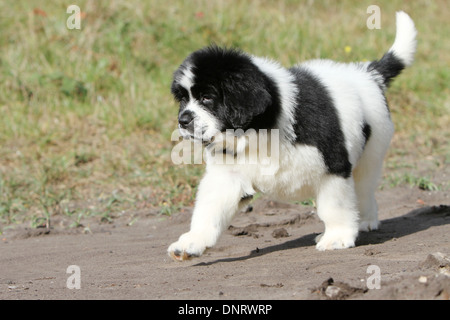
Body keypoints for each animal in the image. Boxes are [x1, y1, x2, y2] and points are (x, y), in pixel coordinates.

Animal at [167, 11, 416, 260]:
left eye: (207, 97)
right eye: (183, 99)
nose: (183, 120)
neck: (261, 129)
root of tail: (368, 73)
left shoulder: (333, 168)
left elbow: (334, 206)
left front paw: (337, 237)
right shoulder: (226, 175)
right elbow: (209, 209)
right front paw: (192, 241)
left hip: (371, 152)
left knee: (364, 188)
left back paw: (364, 221)